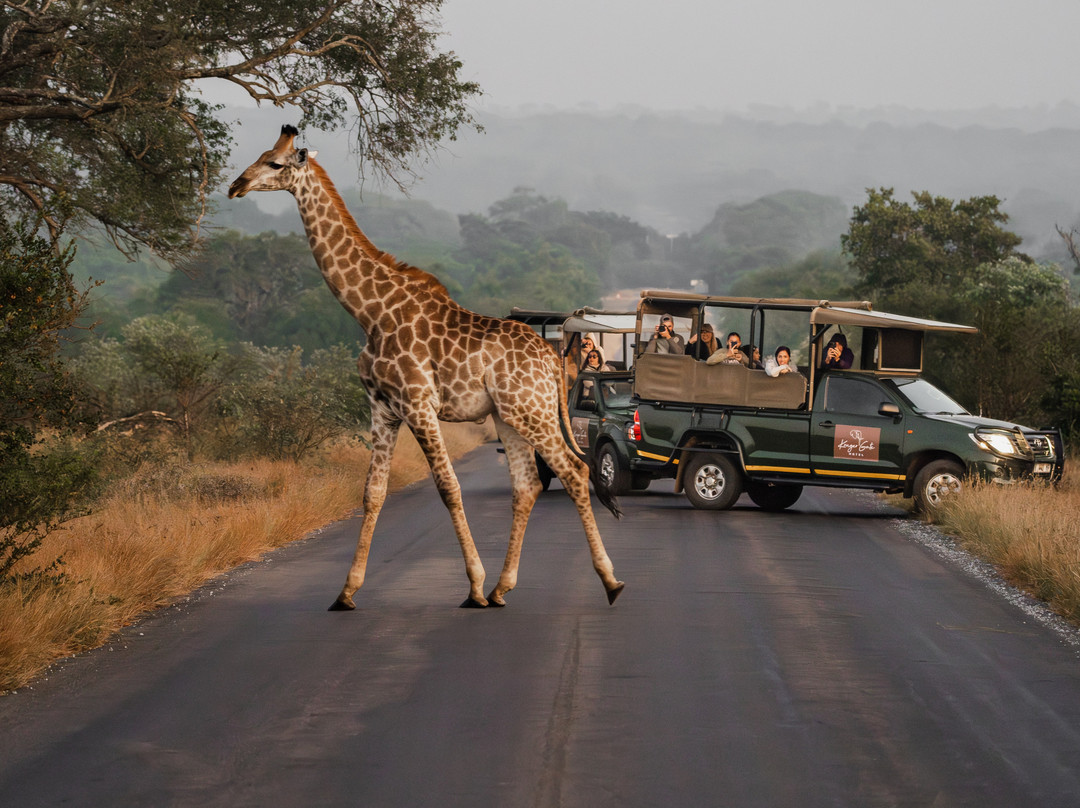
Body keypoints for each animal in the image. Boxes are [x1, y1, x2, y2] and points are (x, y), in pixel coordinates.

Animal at [232, 124, 630, 604]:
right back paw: (503, 587)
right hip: (508, 417)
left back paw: (609, 581)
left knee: (574, 471)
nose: (236, 186)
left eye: (274, 163)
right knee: (527, 486)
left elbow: (449, 488)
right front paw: (346, 592)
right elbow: (373, 493)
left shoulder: (419, 405)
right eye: (260, 155)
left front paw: (473, 586)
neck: (371, 313)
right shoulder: (382, 408)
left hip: (531, 412)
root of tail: (553, 363)